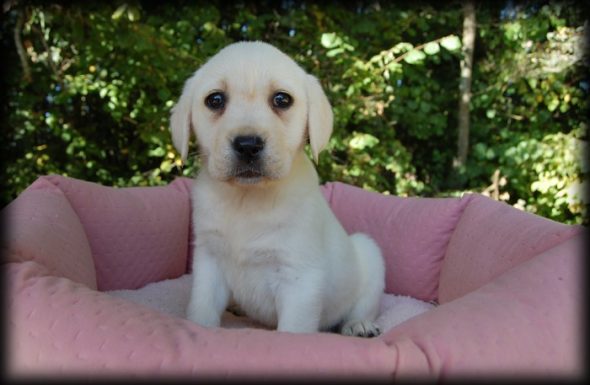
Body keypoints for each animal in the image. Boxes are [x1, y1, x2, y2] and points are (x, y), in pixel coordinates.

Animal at [169, 42, 386, 336]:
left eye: (282, 100)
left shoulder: (299, 278)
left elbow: (291, 332)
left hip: (369, 254)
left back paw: (359, 325)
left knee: (361, 307)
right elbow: (201, 310)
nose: (247, 145)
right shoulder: (209, 262)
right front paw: (198, 329)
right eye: (215, 100)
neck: (246, 199)